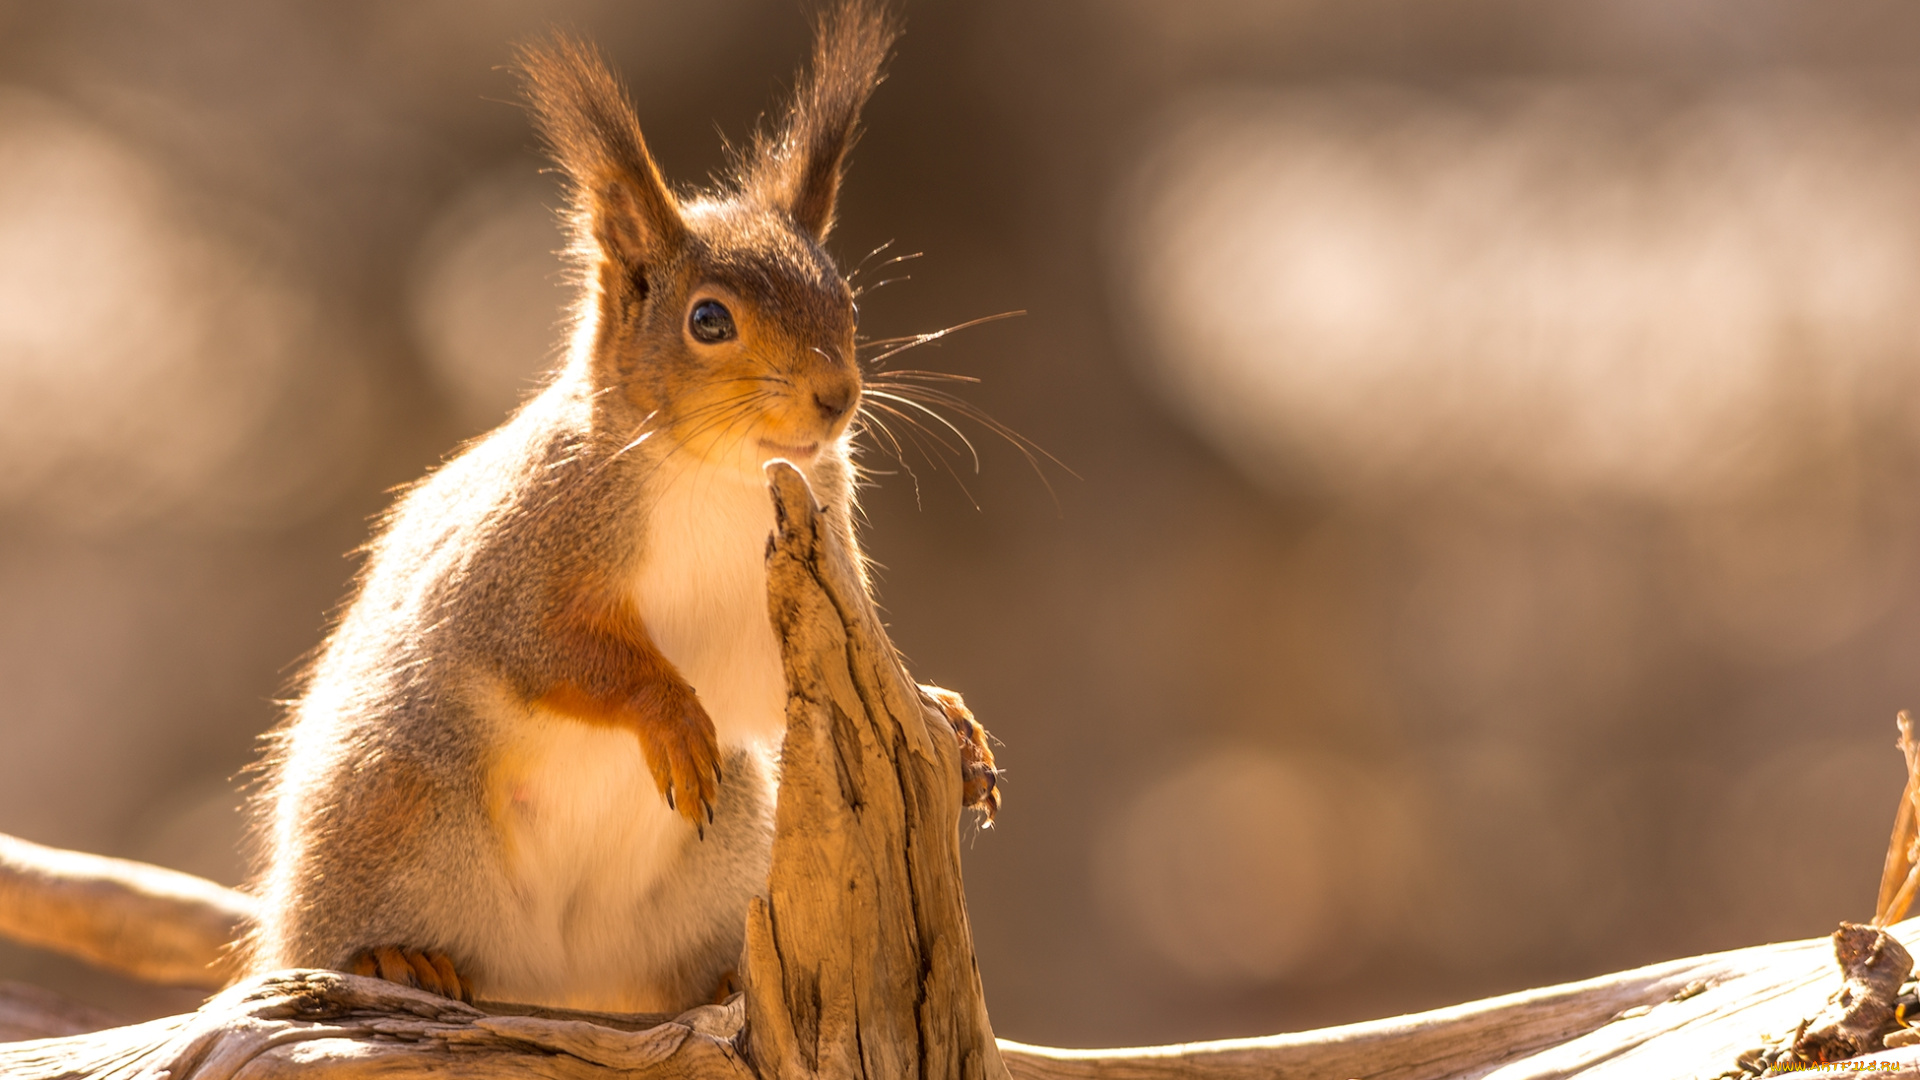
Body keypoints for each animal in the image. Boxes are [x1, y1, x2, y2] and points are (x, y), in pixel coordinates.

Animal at [245, 0, 998, 1006]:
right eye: (708, 319)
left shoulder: (788, 609)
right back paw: (394, 958)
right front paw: (670, 717)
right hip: (393, 805)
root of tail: (560, 979)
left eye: (846, 298)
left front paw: (943, 711)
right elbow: (548, 649)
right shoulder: (522, 553)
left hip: (723, 853)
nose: (838, 398)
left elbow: (786, 688)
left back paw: (719, 981)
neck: (719, 479)